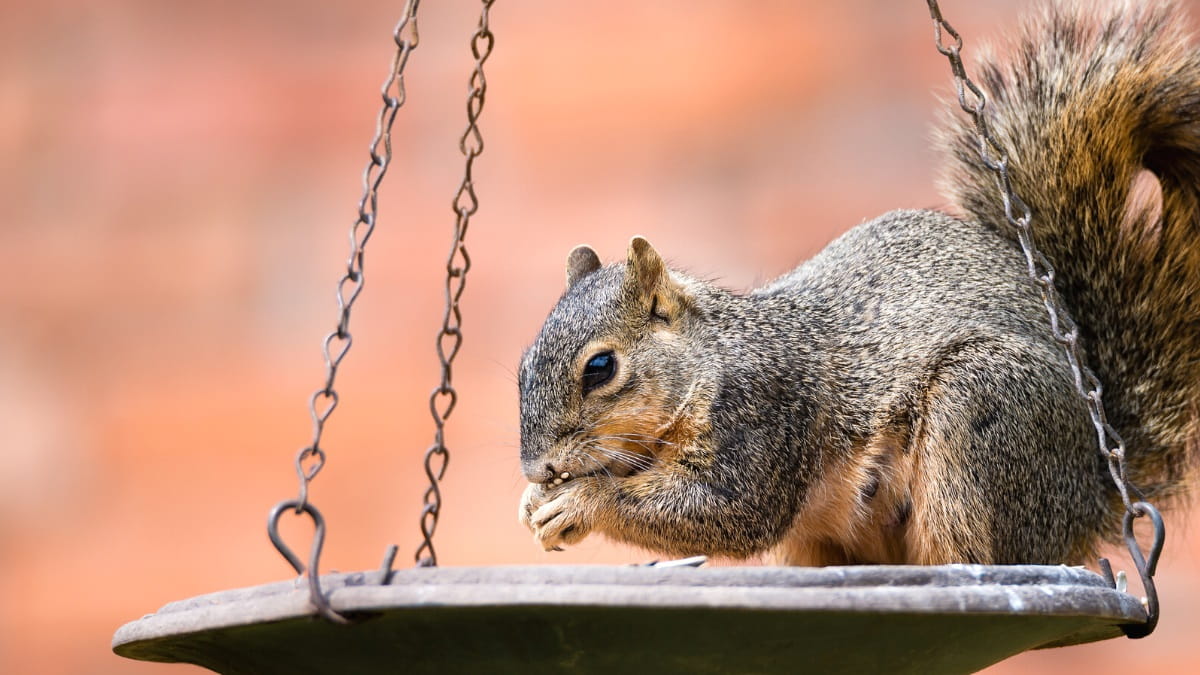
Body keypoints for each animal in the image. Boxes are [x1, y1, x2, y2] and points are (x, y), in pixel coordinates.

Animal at [516, 0, 1200, 564]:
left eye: (601, 367)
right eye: (522, 366)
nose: (538, 469)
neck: (712, 359)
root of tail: (1095, 494)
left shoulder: (764, 417)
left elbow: (726, 511)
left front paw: (581, 502)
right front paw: (533, 505)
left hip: (981, 414)